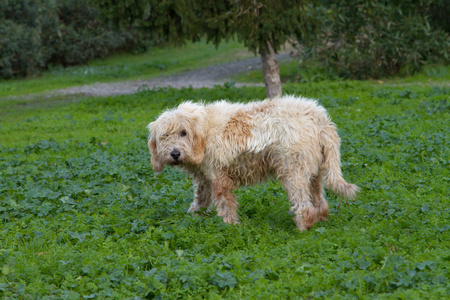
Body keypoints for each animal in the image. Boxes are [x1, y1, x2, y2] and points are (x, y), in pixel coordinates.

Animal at [148, 95, 358, 231]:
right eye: (165, 136)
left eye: (183, 132)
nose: (175, 153)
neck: (204, 130)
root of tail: (319, 118)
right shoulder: (205, 179)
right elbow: (200, 200)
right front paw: (193, 216)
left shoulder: (219, 179)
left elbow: (225, 205)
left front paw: (230, 226)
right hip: (314, 172)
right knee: (320, 203)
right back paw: (320, 220)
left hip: (294, 172)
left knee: (304, 207)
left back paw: (302, 228)